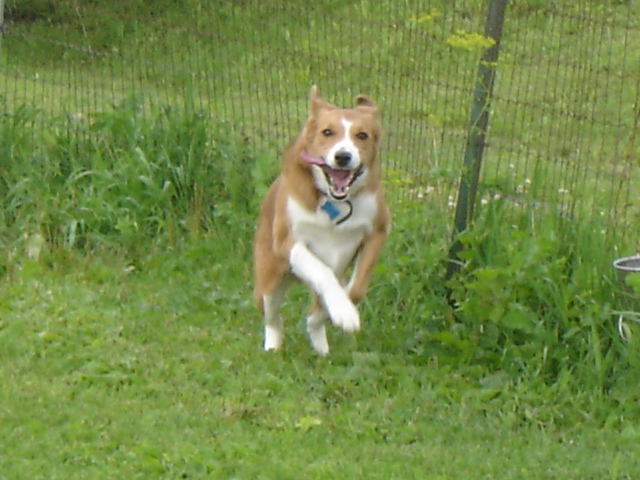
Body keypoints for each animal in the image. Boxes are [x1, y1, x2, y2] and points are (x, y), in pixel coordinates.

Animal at [253, 86, 390, 355]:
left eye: (362, 135)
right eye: (327, 132)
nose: (343, 156)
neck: (334, 200)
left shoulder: (377, 232)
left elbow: (355, 290)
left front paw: (341, 309)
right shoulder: (289, 242)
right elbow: (322, 272)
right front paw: (342, 310)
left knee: (314, 309)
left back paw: (321, 346)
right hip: (269, 276)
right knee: (272, 316)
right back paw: (273, 346)